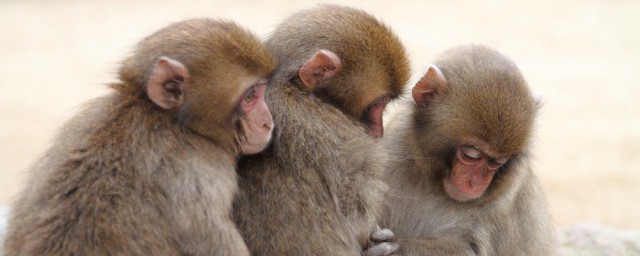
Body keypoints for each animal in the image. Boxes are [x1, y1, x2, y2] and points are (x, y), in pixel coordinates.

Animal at [380, 44, 556, 256]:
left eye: (497, 163)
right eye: (471, 154)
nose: (476, 184)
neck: (434, 186)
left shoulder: (504, 197)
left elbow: (472, 250)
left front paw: (397, 247)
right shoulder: (392, 150)